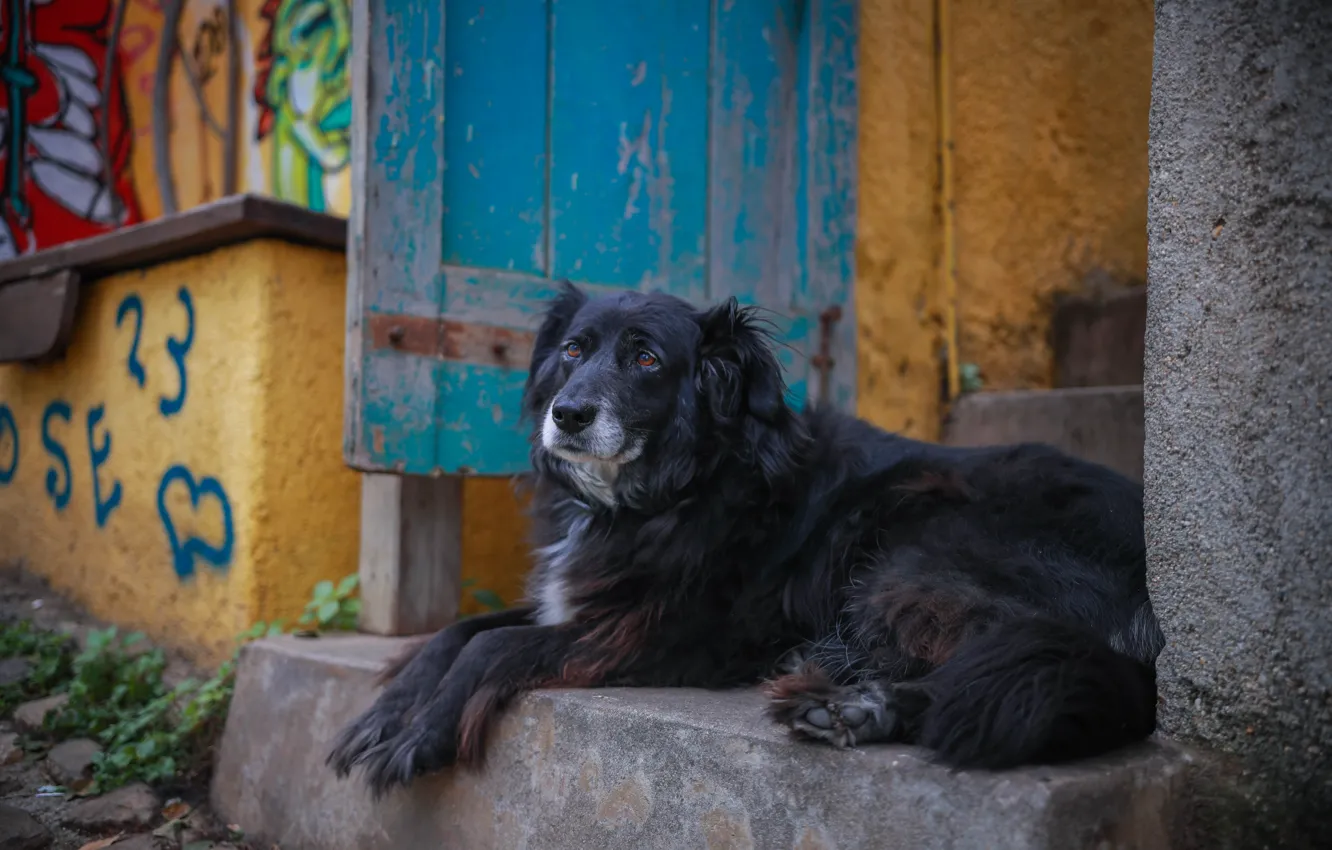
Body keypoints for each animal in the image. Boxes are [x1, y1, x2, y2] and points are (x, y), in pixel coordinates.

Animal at [327, 286, 1161, 799]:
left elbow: (489, 647)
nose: (567, 414)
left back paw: (856, 705)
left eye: (646, 359)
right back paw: (852, 706)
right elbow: (455, 631)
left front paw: (420, 735)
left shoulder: (652, 635)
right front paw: (385, 714)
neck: (675, 487)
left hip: (916, 543)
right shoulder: (580, 602)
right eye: (572, 350)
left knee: (986, 662)